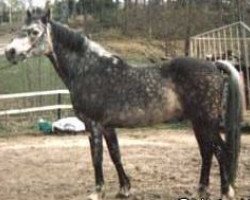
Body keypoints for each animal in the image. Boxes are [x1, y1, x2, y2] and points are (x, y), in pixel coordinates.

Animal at [4, 6, 242, 200]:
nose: (9, 52)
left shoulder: (93, 125)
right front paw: (124, 189)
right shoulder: (108, 126)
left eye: (34, 32)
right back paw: (203, 190)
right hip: (198, 123)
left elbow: (97, 157)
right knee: (208, 152)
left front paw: (97, 192)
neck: (88, 69)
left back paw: (224, 191)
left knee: (221, 152)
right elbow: (115, 154)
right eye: (20, 29)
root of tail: (215, 66)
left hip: (206, 122)